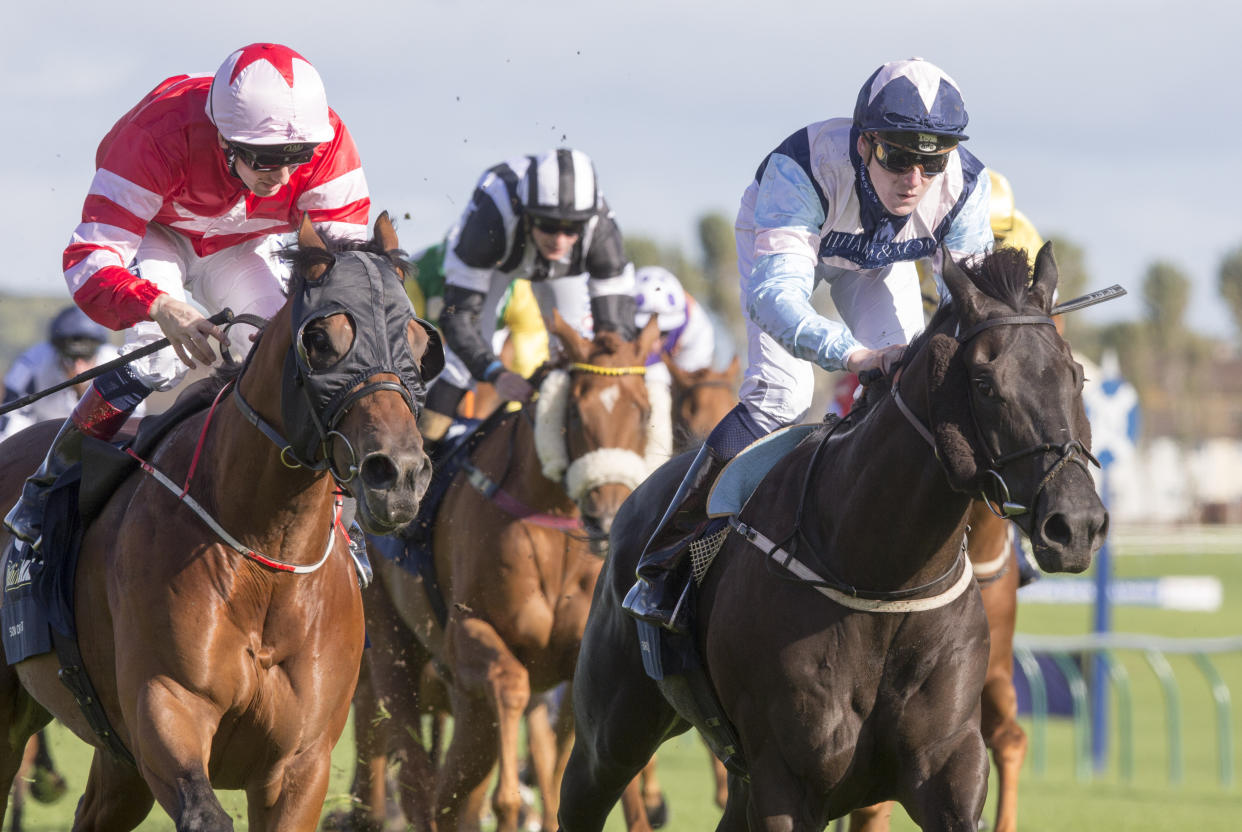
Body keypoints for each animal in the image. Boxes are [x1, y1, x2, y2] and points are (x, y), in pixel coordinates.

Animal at [0, 217, 442, 832]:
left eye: (422, 346)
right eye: (320, 340)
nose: (398, 475)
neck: (266, 554)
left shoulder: (300, 766)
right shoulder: (166, 709)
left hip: (118, 762)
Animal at [553, 244, 1107, 829]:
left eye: (1077, 377)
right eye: (985, 384)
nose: (1076, 524)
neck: (883, 580)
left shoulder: (947, 765)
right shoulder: (786, 780)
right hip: (611, 735)